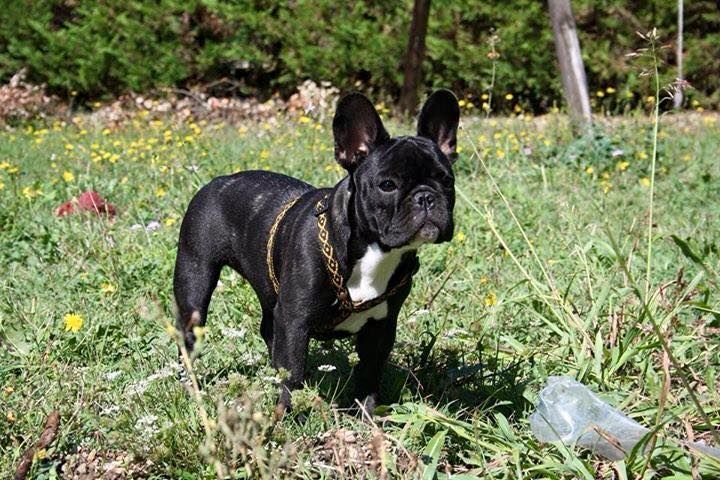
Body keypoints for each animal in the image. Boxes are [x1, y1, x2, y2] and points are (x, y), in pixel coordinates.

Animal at [172, 90, 458, 416]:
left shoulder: (381, 328)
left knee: (268, 328)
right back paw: (192, 387)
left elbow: (370, 374)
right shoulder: (295, 321)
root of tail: (216, 181)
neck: (373, 252)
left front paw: (367, 416)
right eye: (387, 185)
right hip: (195, 280)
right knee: (191, 335)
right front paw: (288, 416)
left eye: (447, 181)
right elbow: (293, 371)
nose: (426, 197)